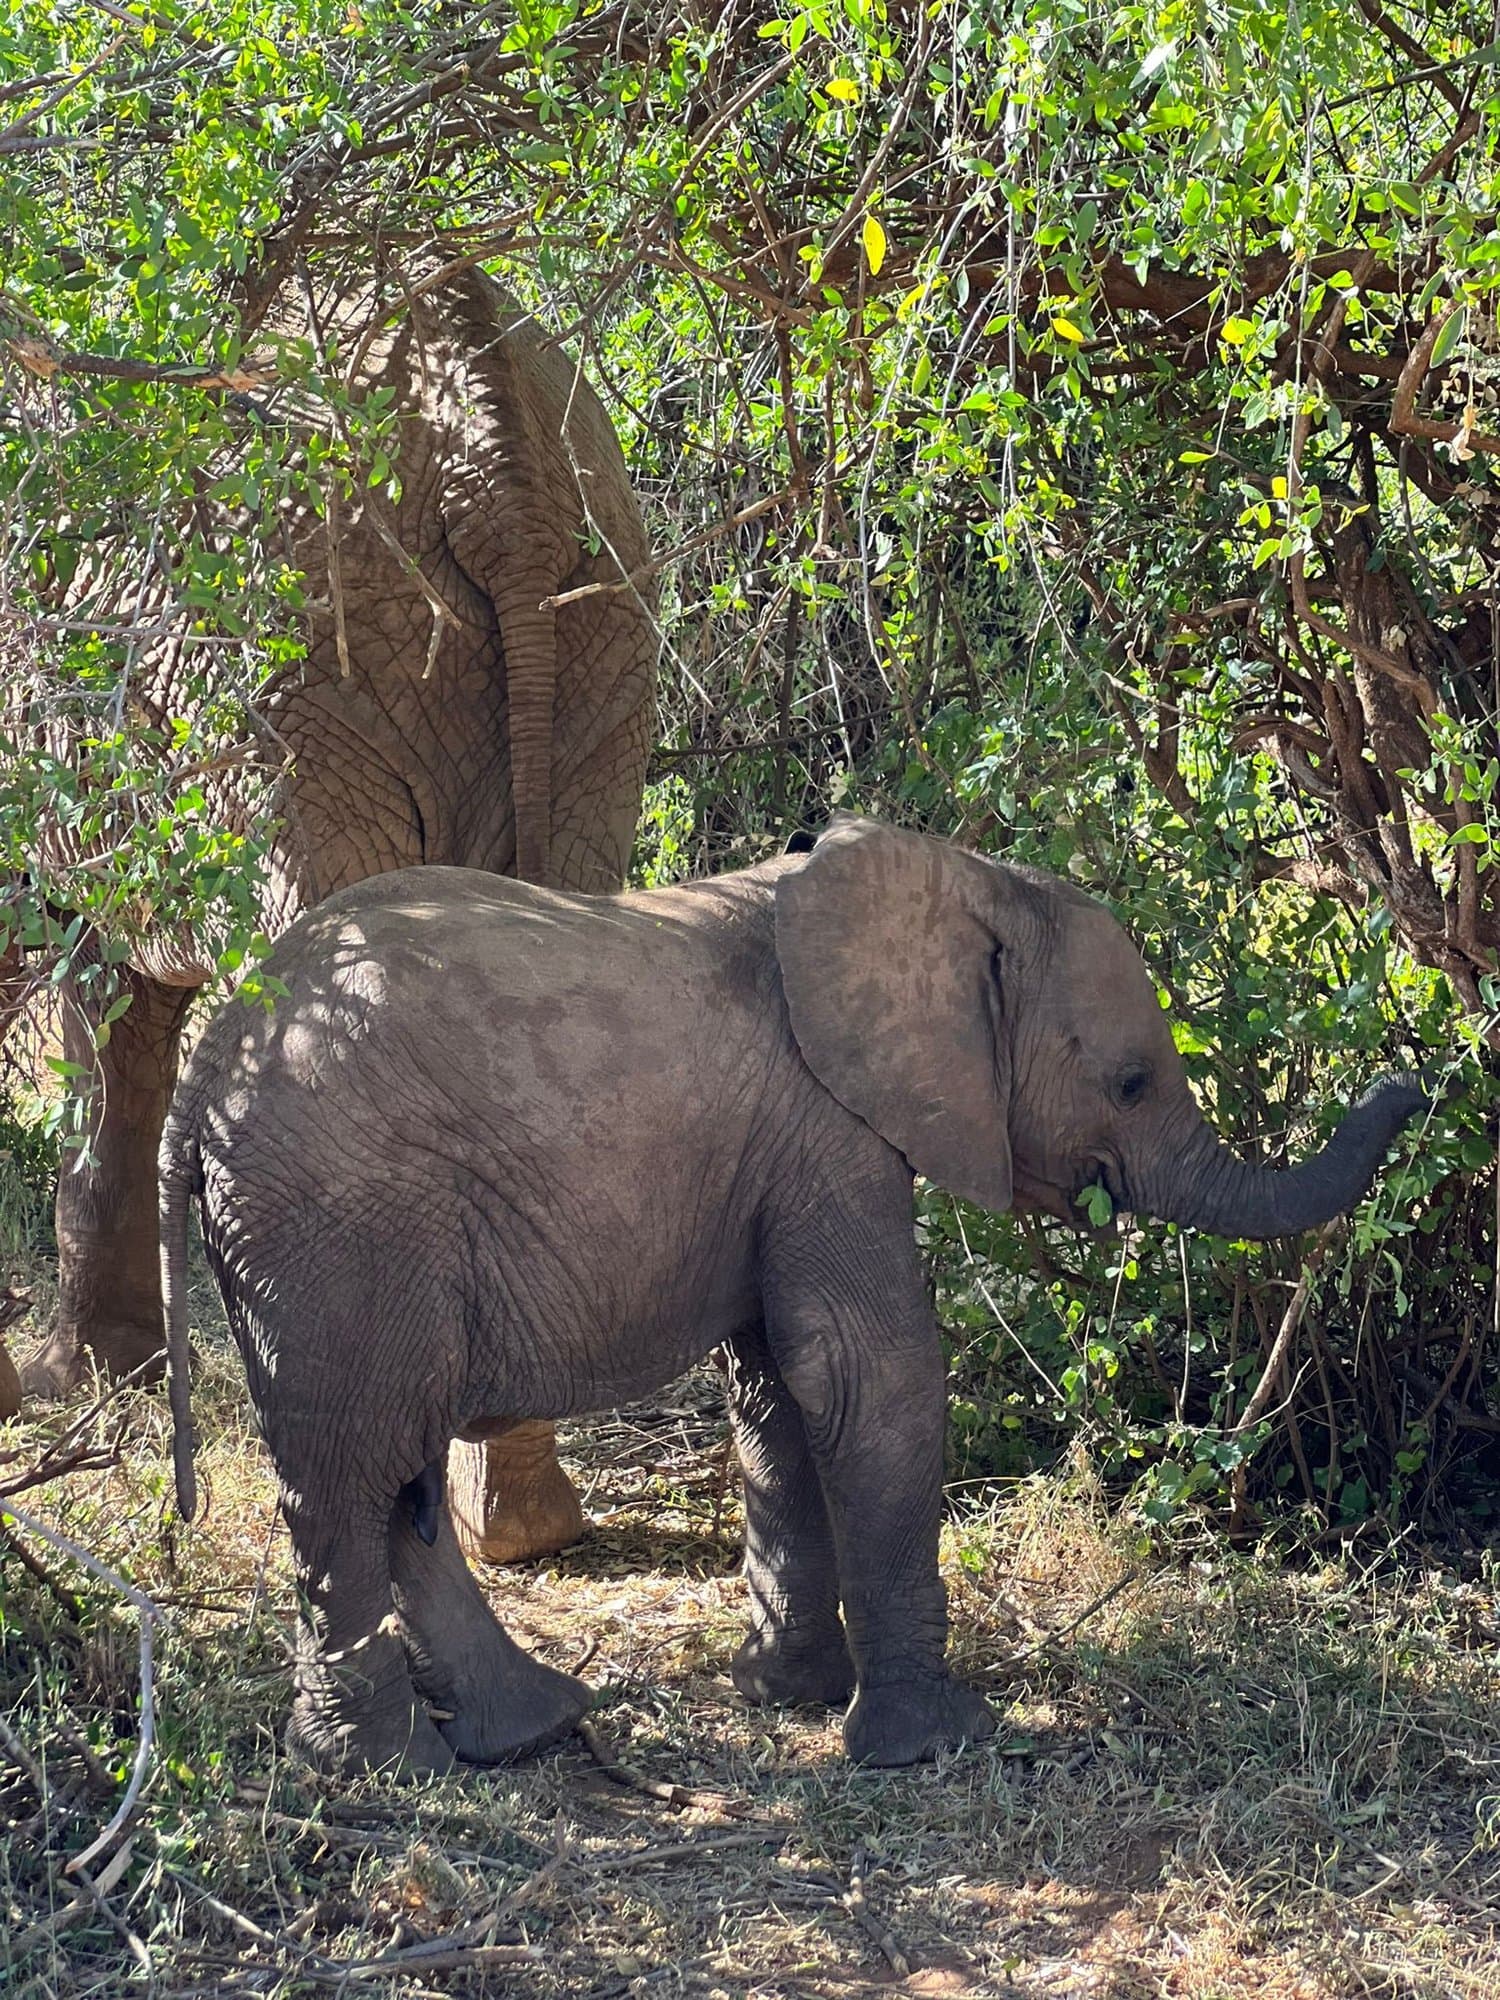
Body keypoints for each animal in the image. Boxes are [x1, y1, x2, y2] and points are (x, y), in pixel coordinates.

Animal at [21, 258, 656, 1565]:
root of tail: (498, 475)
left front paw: (65, 1386)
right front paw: (104, 1376)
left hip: (302, 672)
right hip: (599, 641)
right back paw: (519, 1529)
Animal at [159, 813, 1428, 1773]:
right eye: (1128, 1081)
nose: (1412, 1080)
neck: (955, 883)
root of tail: (205, 1064)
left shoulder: (775, 1156)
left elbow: (779, 1393)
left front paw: (792, 1695)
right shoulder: (829, 1131)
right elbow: (867, 1376)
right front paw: (936, 1740)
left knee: (392, 1474)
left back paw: (525, 1728)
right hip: (333, 1229)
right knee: (350, 1467)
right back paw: (383, 1765)